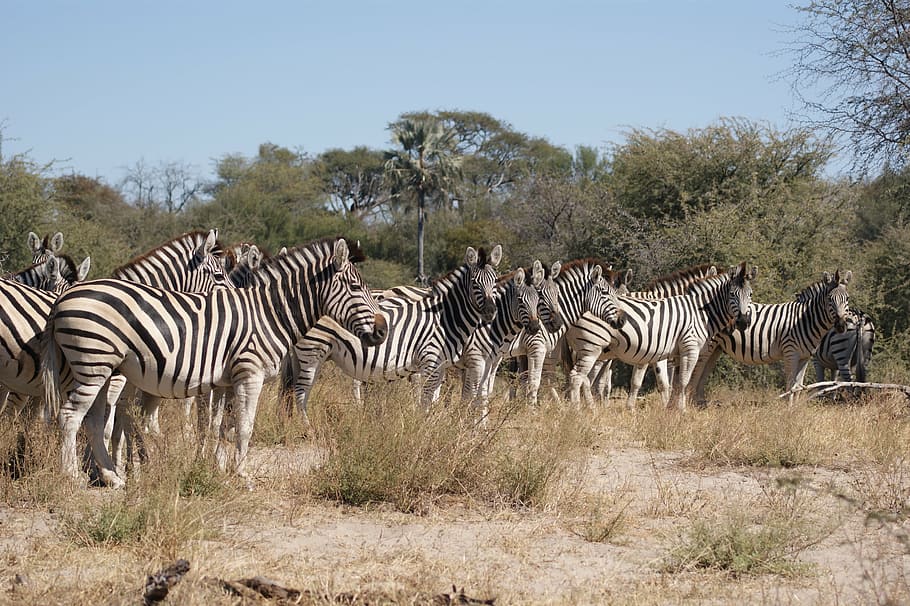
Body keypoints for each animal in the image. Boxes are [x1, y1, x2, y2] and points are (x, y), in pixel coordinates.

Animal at [44, 237, 387, 488]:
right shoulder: (250, 373)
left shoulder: (226, 380)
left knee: (94, 420)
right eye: (356, 287)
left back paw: (112, 477)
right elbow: (245, 427)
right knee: (71, 416)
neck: (269, 313)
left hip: (105, 369)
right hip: (93, 366)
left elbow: (220, 426)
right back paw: (72, 477)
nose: (383, 330)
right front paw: (242, 474)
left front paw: (216, 468)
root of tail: (63, 298)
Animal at [288, 245, 504, 414]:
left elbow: (435, 399)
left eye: (495, 281)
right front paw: (422, 428)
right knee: (300, 392)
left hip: (314, 356)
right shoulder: (430, 361)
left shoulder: (441, 366)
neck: (445, 318)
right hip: (312, 352)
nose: (491, 312)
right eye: (475, 283)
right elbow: (426, 401)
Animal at [561, 262, 756, 409]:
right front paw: (679, 410)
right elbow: (677, 382)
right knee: (580, 377)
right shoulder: (685, 349)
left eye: (750, 294)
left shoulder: (671, 353)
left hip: (593, 350)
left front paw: (670, 408)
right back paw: (580, 410)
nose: (742, 322)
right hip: (591, 347)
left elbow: (672, 383)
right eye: (732, 294)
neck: (699, 310)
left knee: (586, 379)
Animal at [690, 270, 851, 405]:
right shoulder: (790, 352)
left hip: (716, 347)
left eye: (847, 299)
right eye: (830, 299)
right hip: (707, 345)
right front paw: (788, 409)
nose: (841, 326)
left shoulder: (805, 357)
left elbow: (799, 385)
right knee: (696, 371)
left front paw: (796, 408)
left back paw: (700, 404)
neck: (805, 320)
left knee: (703, 373)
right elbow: (791, 385)